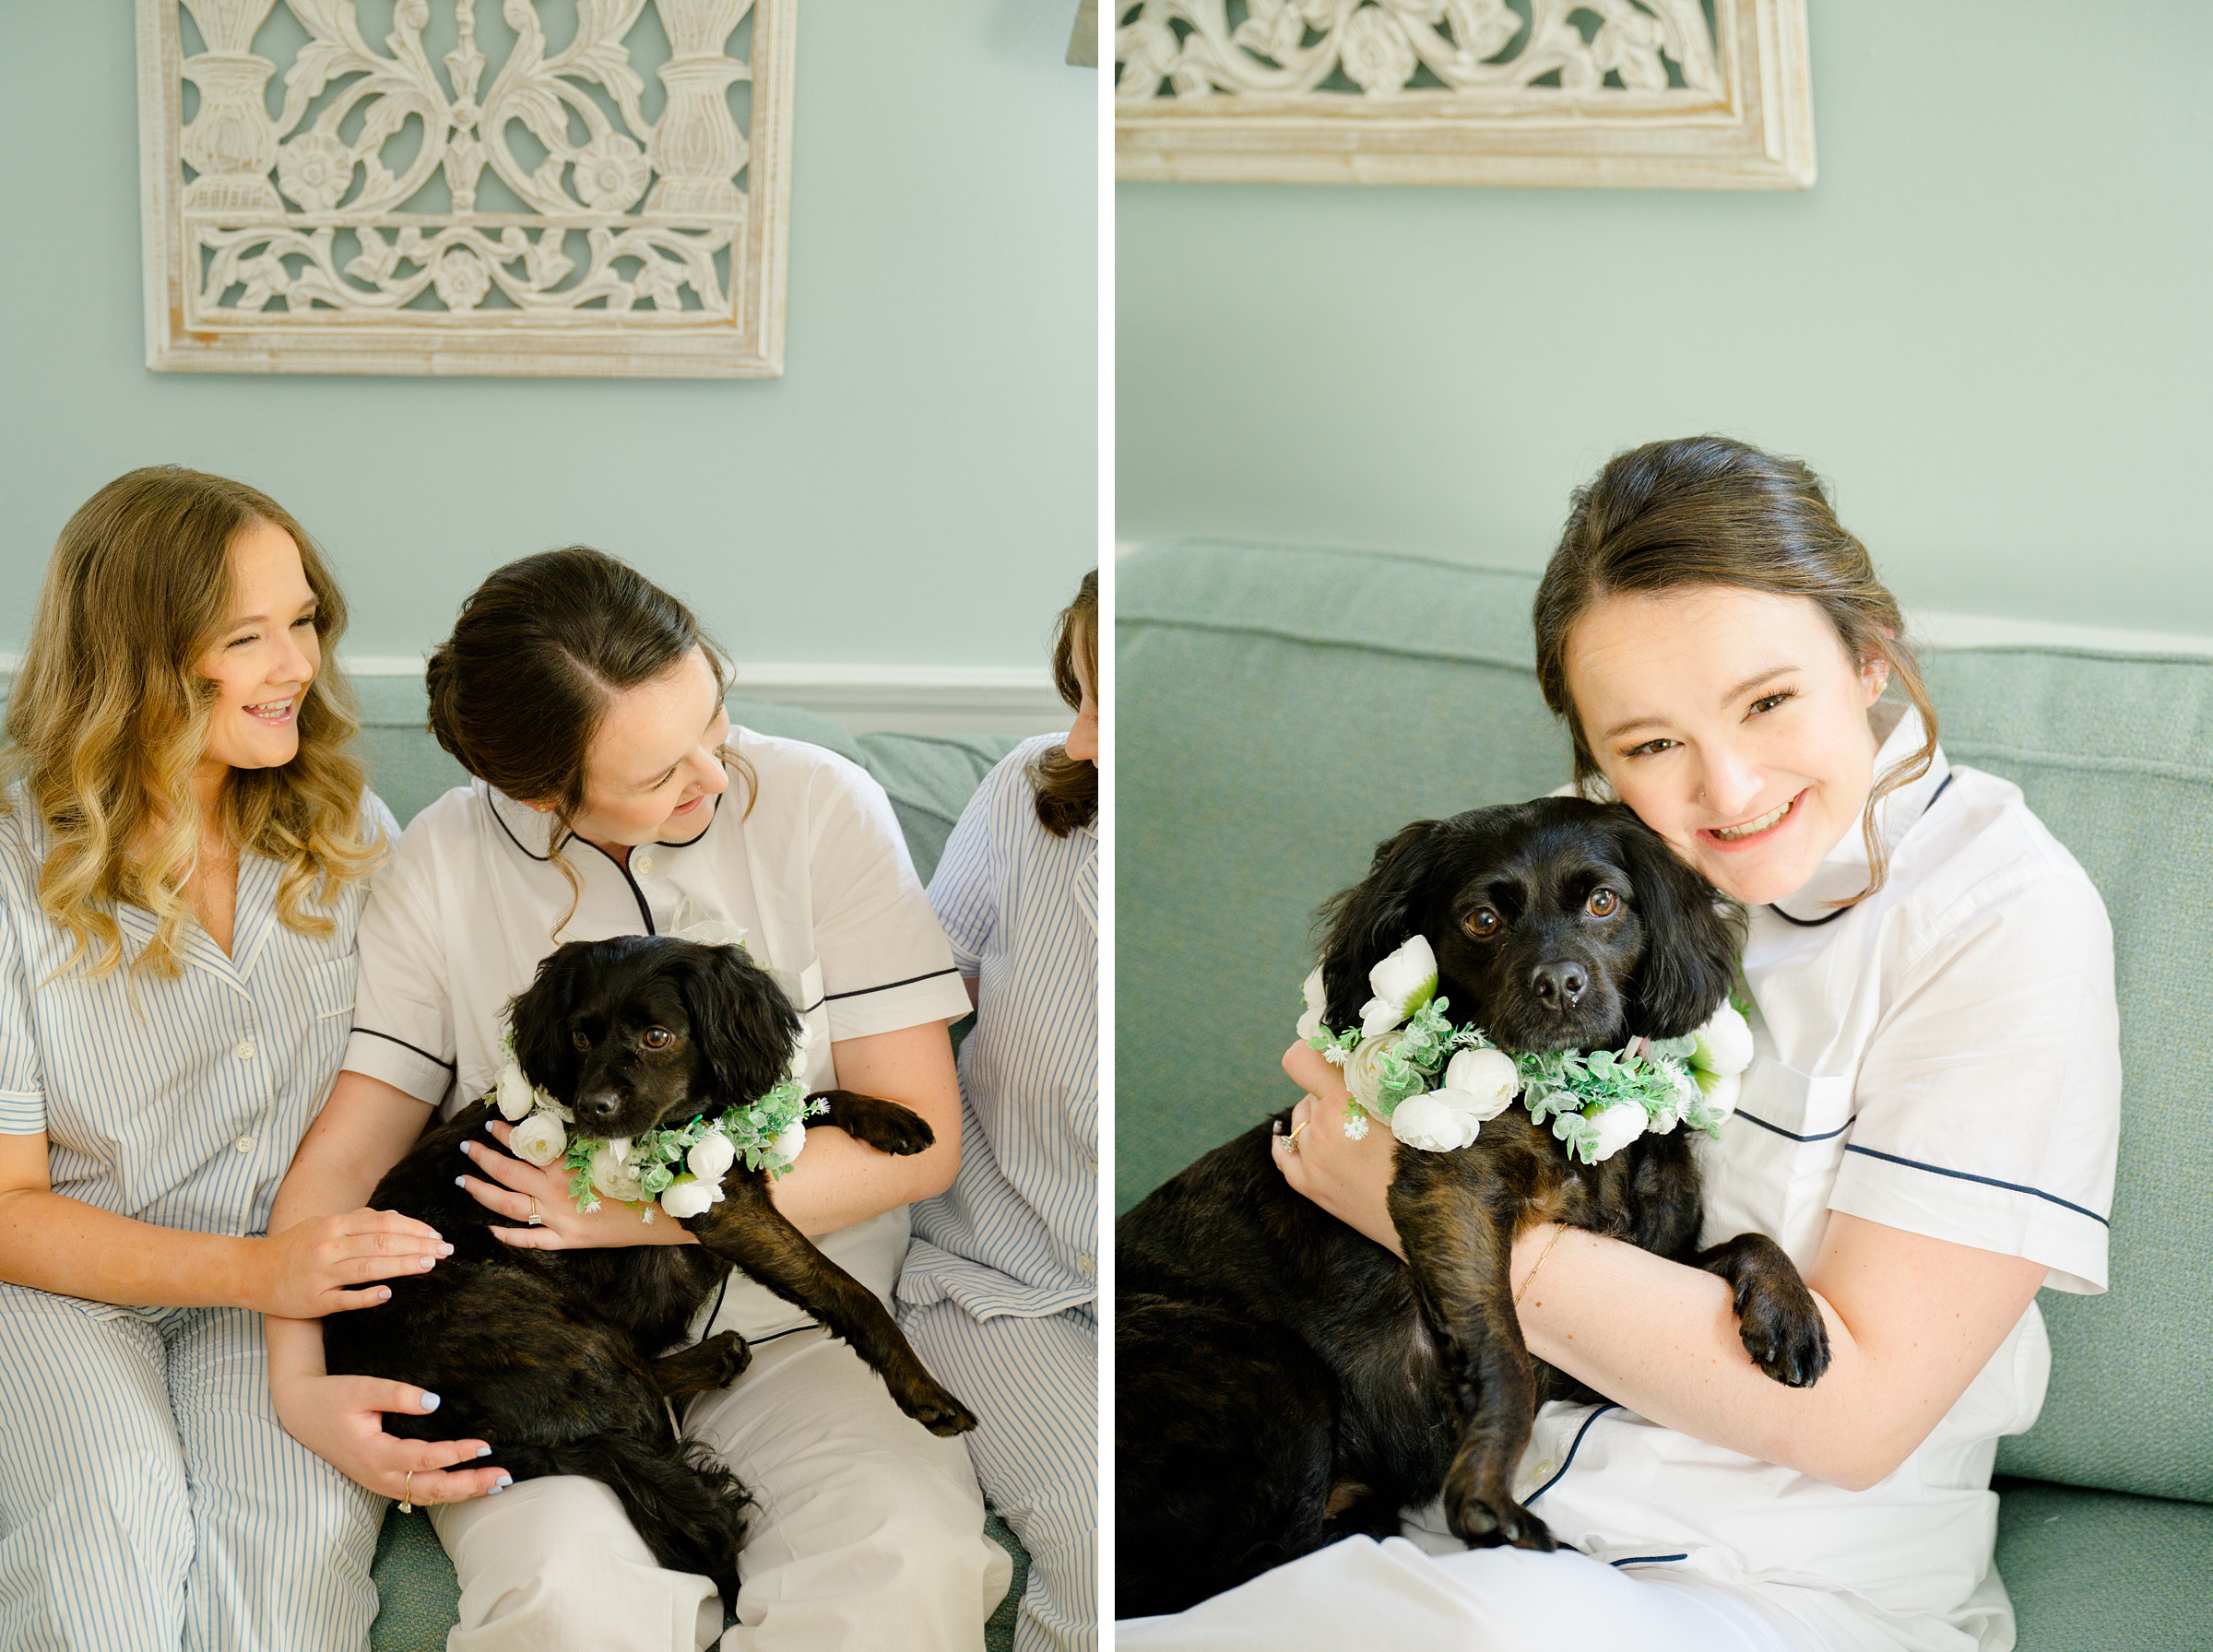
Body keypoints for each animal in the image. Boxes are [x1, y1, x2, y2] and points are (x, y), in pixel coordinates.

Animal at [325, 941, 977, 1600]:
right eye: (579, 1037)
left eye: (657, 1036)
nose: (590, 1109)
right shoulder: (727, 1210)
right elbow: (849, 1291)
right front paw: (922, 1389)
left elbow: (804, 1102)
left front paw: (887, 1116)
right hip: (568, 1342)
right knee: (648, 1418)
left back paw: (716, 1357)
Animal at [1115, 796, 1823, 1619]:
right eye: (1483, 919)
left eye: (1604, 903)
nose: (1560, 984)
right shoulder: (1450, 1196)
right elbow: (1505, 1358)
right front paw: (1486, 1496)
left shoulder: (1601, 1346)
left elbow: (1743, 1242)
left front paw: (1788, 1309)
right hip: (1268, 1373)